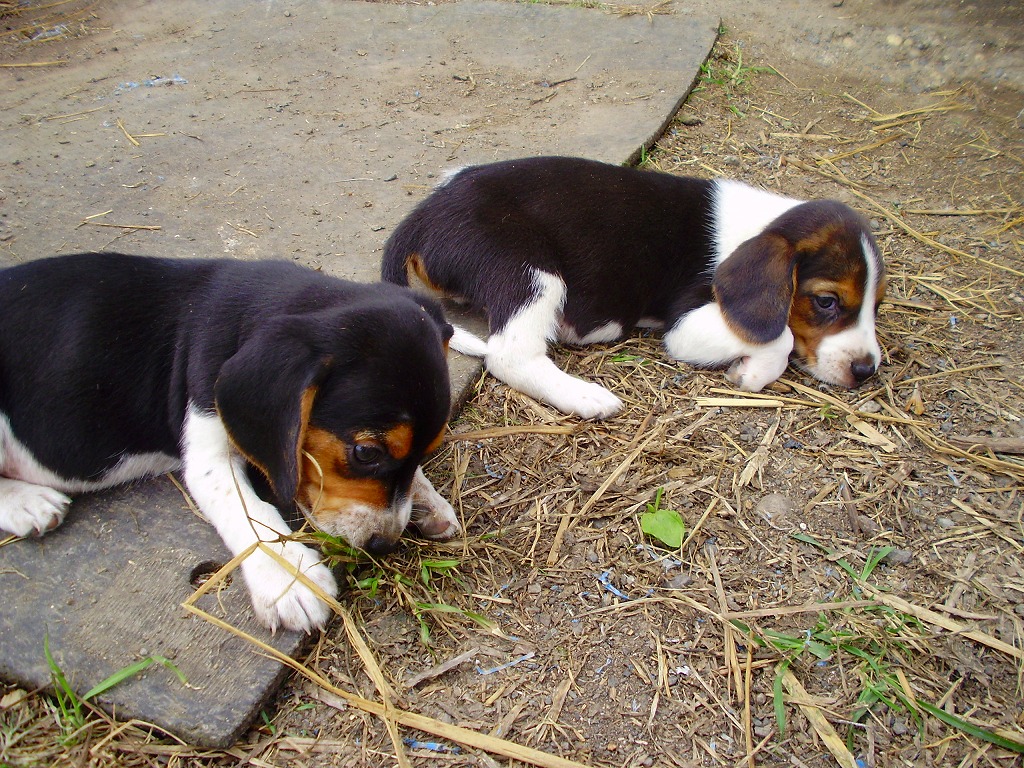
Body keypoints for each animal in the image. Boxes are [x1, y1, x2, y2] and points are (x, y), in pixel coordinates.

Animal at [0, 252, 460, 633]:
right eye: (366, 453)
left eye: (428, 450)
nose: (384, 544)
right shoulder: (209, 454)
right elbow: (251, 513)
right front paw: (289, 578)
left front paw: (427, 501)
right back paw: (29, 504)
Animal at [382, 156, 886, 418]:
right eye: (827, 301)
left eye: (875, 307)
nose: (867, 370)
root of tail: (423, 215)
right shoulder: (687, 324)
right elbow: (778, 335)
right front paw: (752, 373)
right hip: (528, 270)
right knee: (511, 356)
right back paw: (586, 397)